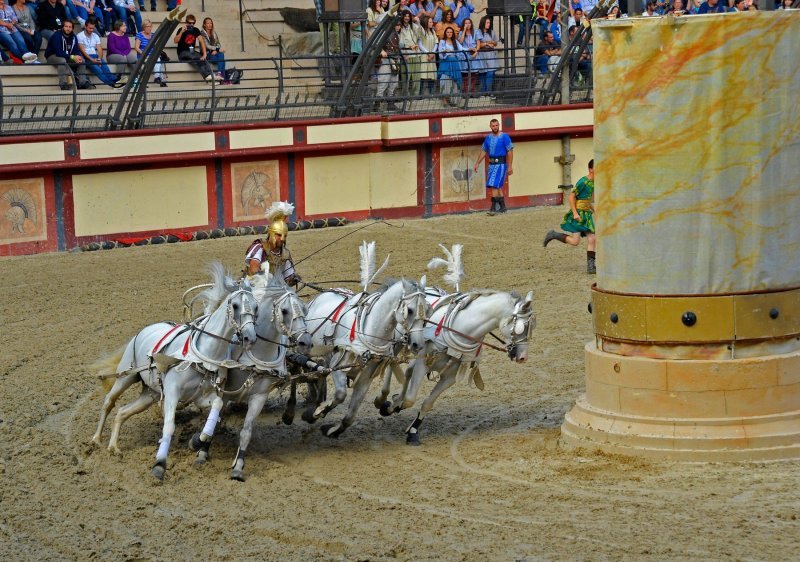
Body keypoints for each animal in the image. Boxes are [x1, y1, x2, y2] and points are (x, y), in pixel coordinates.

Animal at [92, 262, 258, 476]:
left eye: (256, 306)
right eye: (236, 305)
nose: (249, 337)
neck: (201, 354)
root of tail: (145, 329)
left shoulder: (202, 396)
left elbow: (217, 406)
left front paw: (197, 441)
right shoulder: (172, 392)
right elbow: (169, 427)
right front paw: (160, 464)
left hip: (150, 393)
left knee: (122, 412)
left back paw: (113, 447)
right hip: (126, 376)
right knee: (109, 402)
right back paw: (96, 440)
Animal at [188, 274, 312, 476]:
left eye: (304, 308)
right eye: (285, 310)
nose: (305, 342)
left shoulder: (259, 397)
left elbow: (246, 431)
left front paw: (239, 466)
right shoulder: (223, 391)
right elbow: (215, 420)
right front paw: (201, 451)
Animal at [300, 276, 428, 438]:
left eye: (427, 310)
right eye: (410, 310)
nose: (418, 344)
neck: (369, 331)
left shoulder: (367, 375)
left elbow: (351, 415)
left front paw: (332, 430)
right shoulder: (339, 365)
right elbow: (340, 395)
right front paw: (314, 414)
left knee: (320, 373)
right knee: (309, 371)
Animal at [376, 288, 536, 442]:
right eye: (523, 327)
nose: (523, 357)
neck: (461, 329)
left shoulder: (451, 377)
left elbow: (428, 403)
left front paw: (413, 430)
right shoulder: (423, 364)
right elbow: (410, 399)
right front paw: (393, 406)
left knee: (408, 371)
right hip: (396, 341)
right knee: (391, 364)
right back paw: (383, 399)